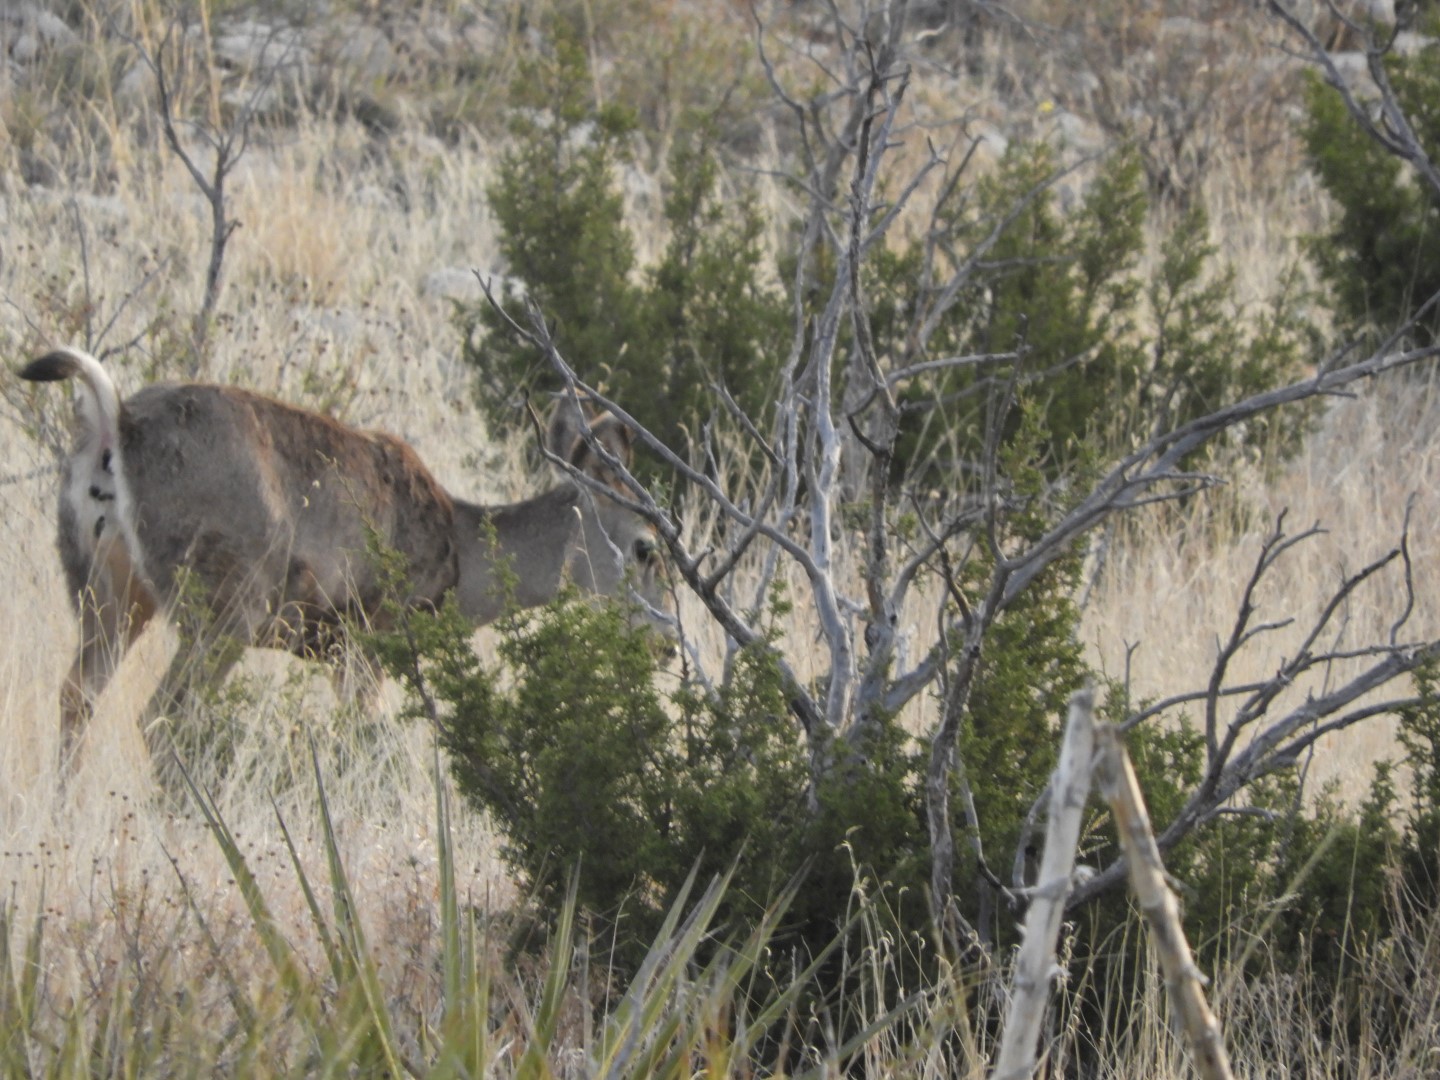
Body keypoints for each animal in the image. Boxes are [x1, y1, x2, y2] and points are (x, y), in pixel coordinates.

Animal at [21, 346, 674, 771]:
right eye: (647, 547)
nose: (664, 644)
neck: (460, 562)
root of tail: (119, 426)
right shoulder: (370, 635)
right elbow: (366, 743)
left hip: (106, 588)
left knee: (76, 696)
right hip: (225, 598)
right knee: (161, 717)